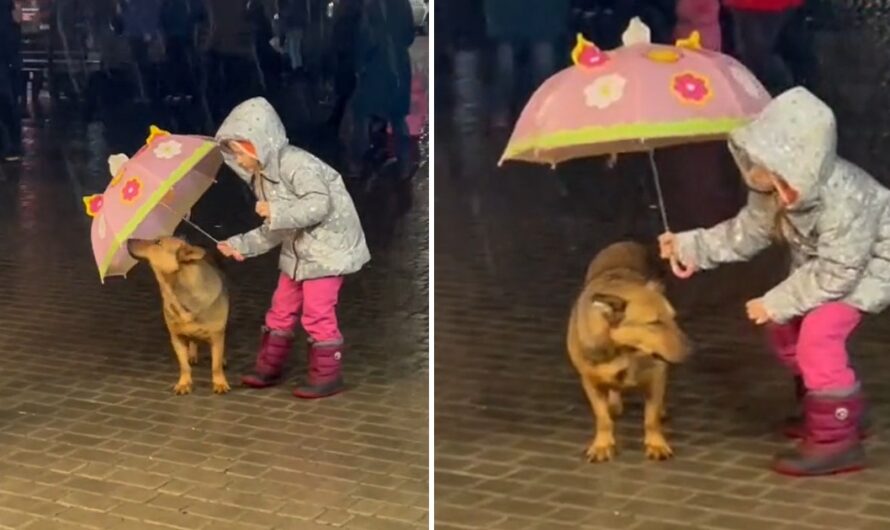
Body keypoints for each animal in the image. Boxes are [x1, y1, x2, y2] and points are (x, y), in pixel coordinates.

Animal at [130, 235, 232, 392]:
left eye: (157, 242)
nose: (128, 239)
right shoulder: (176, 337)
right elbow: (184, 366)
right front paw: (184, 383)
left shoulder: (217, 335)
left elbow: (216, 364)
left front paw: (219, 383)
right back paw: (192, 354)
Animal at [568, 241, 688, 460]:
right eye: (654, 323)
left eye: (673, 318)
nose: (692, 349)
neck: (624, 350)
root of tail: (626, 242)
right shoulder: (590, 381)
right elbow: (602, 418)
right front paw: (602, 444)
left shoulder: (657, 375)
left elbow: (651, 418)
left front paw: (656, 444)